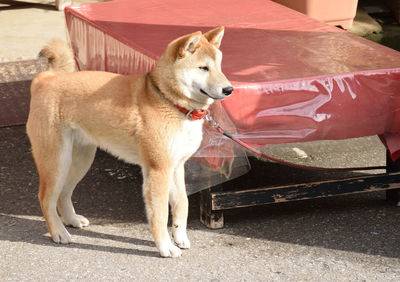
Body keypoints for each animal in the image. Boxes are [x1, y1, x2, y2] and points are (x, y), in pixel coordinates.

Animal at [26, 26, 233, 258]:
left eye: (219, 65)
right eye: (203, 68)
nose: (229, 89)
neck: (169, 101)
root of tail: (44, 80)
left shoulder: (176, 166)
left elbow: (182, 203)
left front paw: (180, 237)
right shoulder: (158, 170)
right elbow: (160, 214)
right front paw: (165, 246)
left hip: (80, 160)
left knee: (63, 194)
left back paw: (71, 220)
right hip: (56, 162)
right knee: (46, 198)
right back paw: (58, 232)